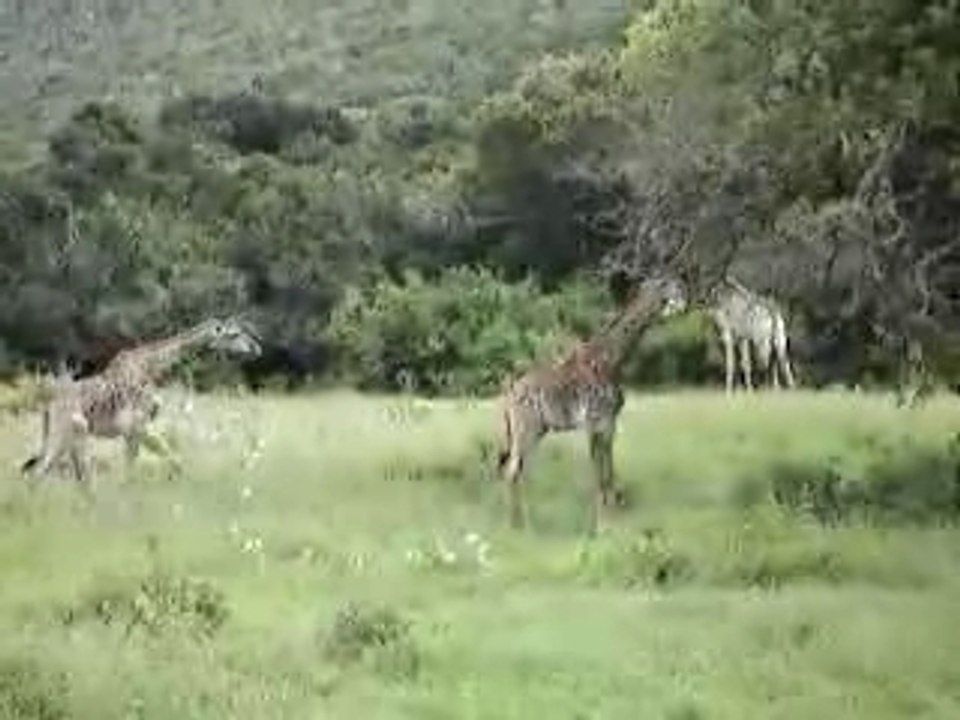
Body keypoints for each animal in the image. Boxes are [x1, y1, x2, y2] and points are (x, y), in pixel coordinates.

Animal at [21, 317, 261, 486]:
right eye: (234, 334)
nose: (256, 349)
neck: (156, 367)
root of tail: (47, 407)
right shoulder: (135, 424)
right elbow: (145, 464)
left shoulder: (137, 427)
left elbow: (164, 460)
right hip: (67, 432)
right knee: (43, 472)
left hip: (69, 437)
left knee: (56, 473)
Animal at [495, 274, 687, 533]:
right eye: (666, 286)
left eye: (677, 286)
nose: (682, 303)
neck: (612, 359)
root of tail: (508, 396)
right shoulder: (597, 421)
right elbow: (600, 472)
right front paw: (603, 525)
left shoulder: (607, 422)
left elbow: (607, 468)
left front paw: (607, 521)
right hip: (527, 429)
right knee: (511, 470)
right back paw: (520, 527)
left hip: (534, 430)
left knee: (514, 469)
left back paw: (518, 524)